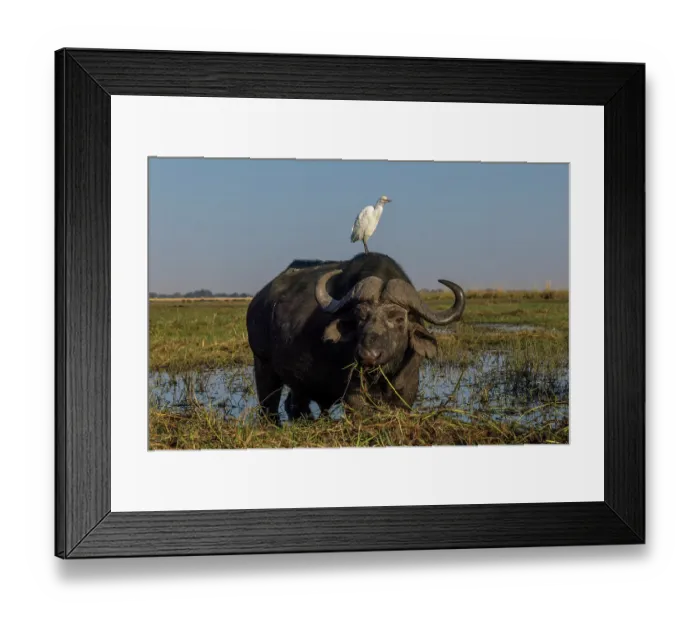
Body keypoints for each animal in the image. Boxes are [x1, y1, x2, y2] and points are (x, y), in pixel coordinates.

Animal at [246, 252, 465, 423]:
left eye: (398, 319)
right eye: (360, 316)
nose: (368, 355)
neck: (383, 375)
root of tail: (258, 301)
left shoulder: (407, 390)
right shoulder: (353, 396)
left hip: (298, 383)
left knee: (295, 405)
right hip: (263, 365)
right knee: (269, 407)